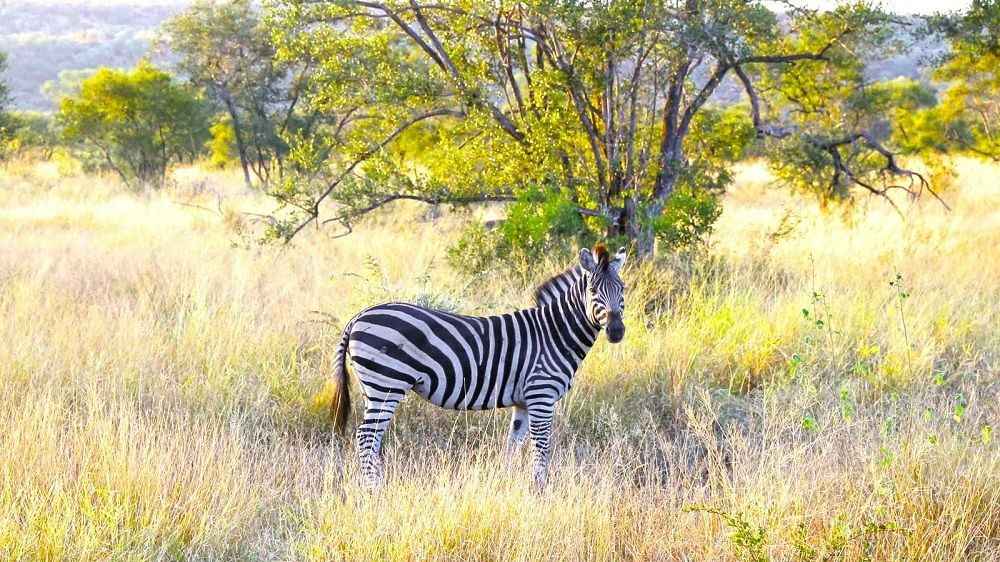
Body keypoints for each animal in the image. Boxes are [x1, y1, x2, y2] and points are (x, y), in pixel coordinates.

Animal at [328, 244, 624, 486]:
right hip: (386, 384)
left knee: (371, 438)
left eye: (623, 290)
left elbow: (513, 445)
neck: (553, 333)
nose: (616, 331)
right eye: (593, 291)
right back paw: (375, 489)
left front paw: (506, 484)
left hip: (374, 388)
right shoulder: (542, 395)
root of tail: (359, 316)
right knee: (366, 437)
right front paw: (540, 489)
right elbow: (541, 446)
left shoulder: (524, 401)